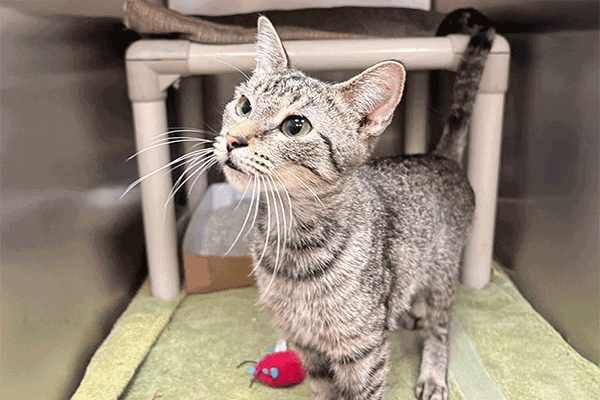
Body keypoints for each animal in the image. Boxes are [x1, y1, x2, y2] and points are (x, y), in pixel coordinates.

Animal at [213, 9, 494, 400]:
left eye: (295, 126)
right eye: (244, 106)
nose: (232, 139)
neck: (295, 243)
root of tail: (440, 156)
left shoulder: (362, 349)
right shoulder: (306, 343)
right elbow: (324, 389)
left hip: (443, 271)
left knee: (441, 326)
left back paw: (434, 374)